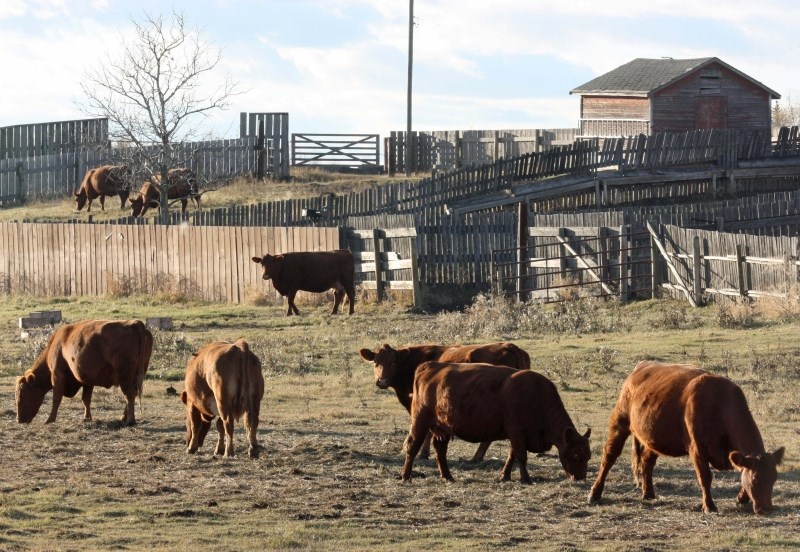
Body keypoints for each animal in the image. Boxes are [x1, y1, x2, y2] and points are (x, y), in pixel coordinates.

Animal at [15, 316, 153, 424]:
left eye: (22, 393)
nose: (19, 419)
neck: (57, 344)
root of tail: (135, 323)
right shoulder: (87, 380)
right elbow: (86, 399)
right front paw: (87, 418)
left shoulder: (57, 375)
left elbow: (56, 399)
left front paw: (49, 420)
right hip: (136, 375)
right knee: (131, 394)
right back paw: (123, 418)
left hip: (125, 376)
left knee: (129, 394)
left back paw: (130, 420)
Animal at [358, 340, 532, 462]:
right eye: (376, 362)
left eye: (393, 362)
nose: (382, 381)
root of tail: (509, 346)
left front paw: (421, 452)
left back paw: (477, 457)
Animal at [404, 362, 592, 484]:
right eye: (576, 454)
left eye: (588, 455)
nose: (580, 478)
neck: (537, 396)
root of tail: (431, 366)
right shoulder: (517, 432)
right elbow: (521, 456)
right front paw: (526, 479)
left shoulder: (516, 435)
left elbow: (512, 456)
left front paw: (504, 476)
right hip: (420, 422)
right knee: (413, 446)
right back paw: (406, 476)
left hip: (442, 428)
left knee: (440, 450)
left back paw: (448, 476)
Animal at [584, 360, 784, 516]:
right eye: (756, 480)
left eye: (774, 478)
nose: (767, 509)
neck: (719, 403)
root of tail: (641, 366)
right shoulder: (697, 449)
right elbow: (705, 477)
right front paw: (709, 506)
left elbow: (741, 471)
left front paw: (741, 497)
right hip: (620, 421)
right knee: (609, 457)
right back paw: (594, 494)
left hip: (653, 437)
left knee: (647, 462)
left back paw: (648, 493)